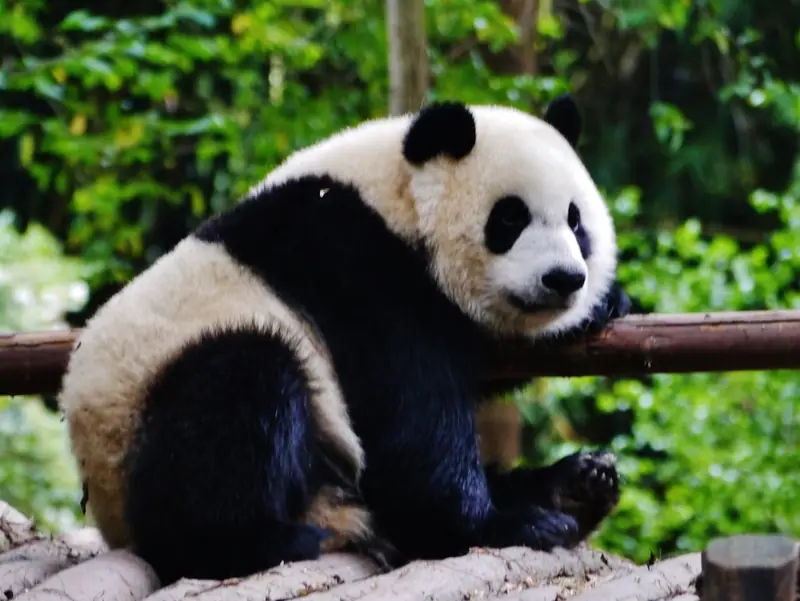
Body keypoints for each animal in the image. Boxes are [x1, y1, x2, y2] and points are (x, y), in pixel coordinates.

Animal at [58, 94, 631, 586]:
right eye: (510, 217)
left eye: (576, 221)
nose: (564, 279)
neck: (393, 196)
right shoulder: (354, 262)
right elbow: (412, 414)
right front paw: (499, 526)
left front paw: (608, 304)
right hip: (148, 407)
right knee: (241, 391)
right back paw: (258, 541)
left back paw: (576, 487)